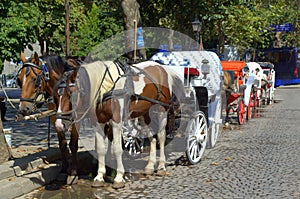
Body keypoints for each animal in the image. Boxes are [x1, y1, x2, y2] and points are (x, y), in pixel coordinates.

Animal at [17, 51, 83, 185]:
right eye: (19, 80)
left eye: (35, 79)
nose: (23, 108)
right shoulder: (54, 117)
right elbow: (62, 144)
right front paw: (64, 169)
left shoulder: (76, 118)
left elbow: (73, 144)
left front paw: (73, 172)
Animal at [54, 60, 185, 188]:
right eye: (56, 97)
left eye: (70, 94)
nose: (59, 125)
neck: (106, 88)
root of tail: (162, 68)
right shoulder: (98, 122)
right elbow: (100, 148)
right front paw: (99, 177)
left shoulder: (116, 122)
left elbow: (117, 148)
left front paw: (118, 177)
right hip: (145, 113)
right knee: (152, 136)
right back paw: (149, 166)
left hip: (161, 109)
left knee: (161, 137)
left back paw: (161, 166)